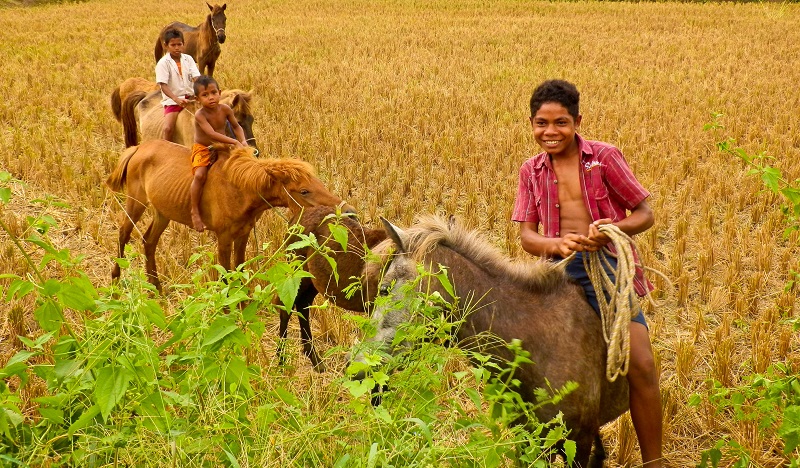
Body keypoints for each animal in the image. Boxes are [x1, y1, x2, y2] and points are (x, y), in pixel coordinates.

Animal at [104, 140, 350, 292]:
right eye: (304, 191)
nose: (348, 211)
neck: (242, 189)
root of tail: (138, 148)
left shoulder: (243, 235)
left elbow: (239, 269)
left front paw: (244, 302)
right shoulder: (223, 238)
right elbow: (225, 273)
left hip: (162, 212)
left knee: (149, 241)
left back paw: (155, 287)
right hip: (136, 203)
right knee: (123, 234)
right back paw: (115, 279)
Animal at [280, 207, 390, 372]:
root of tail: (295, 219)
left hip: (313, 280)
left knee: (302, 306)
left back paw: (315, 361)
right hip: (296, 272)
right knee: (285, 306)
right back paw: (281, 361)